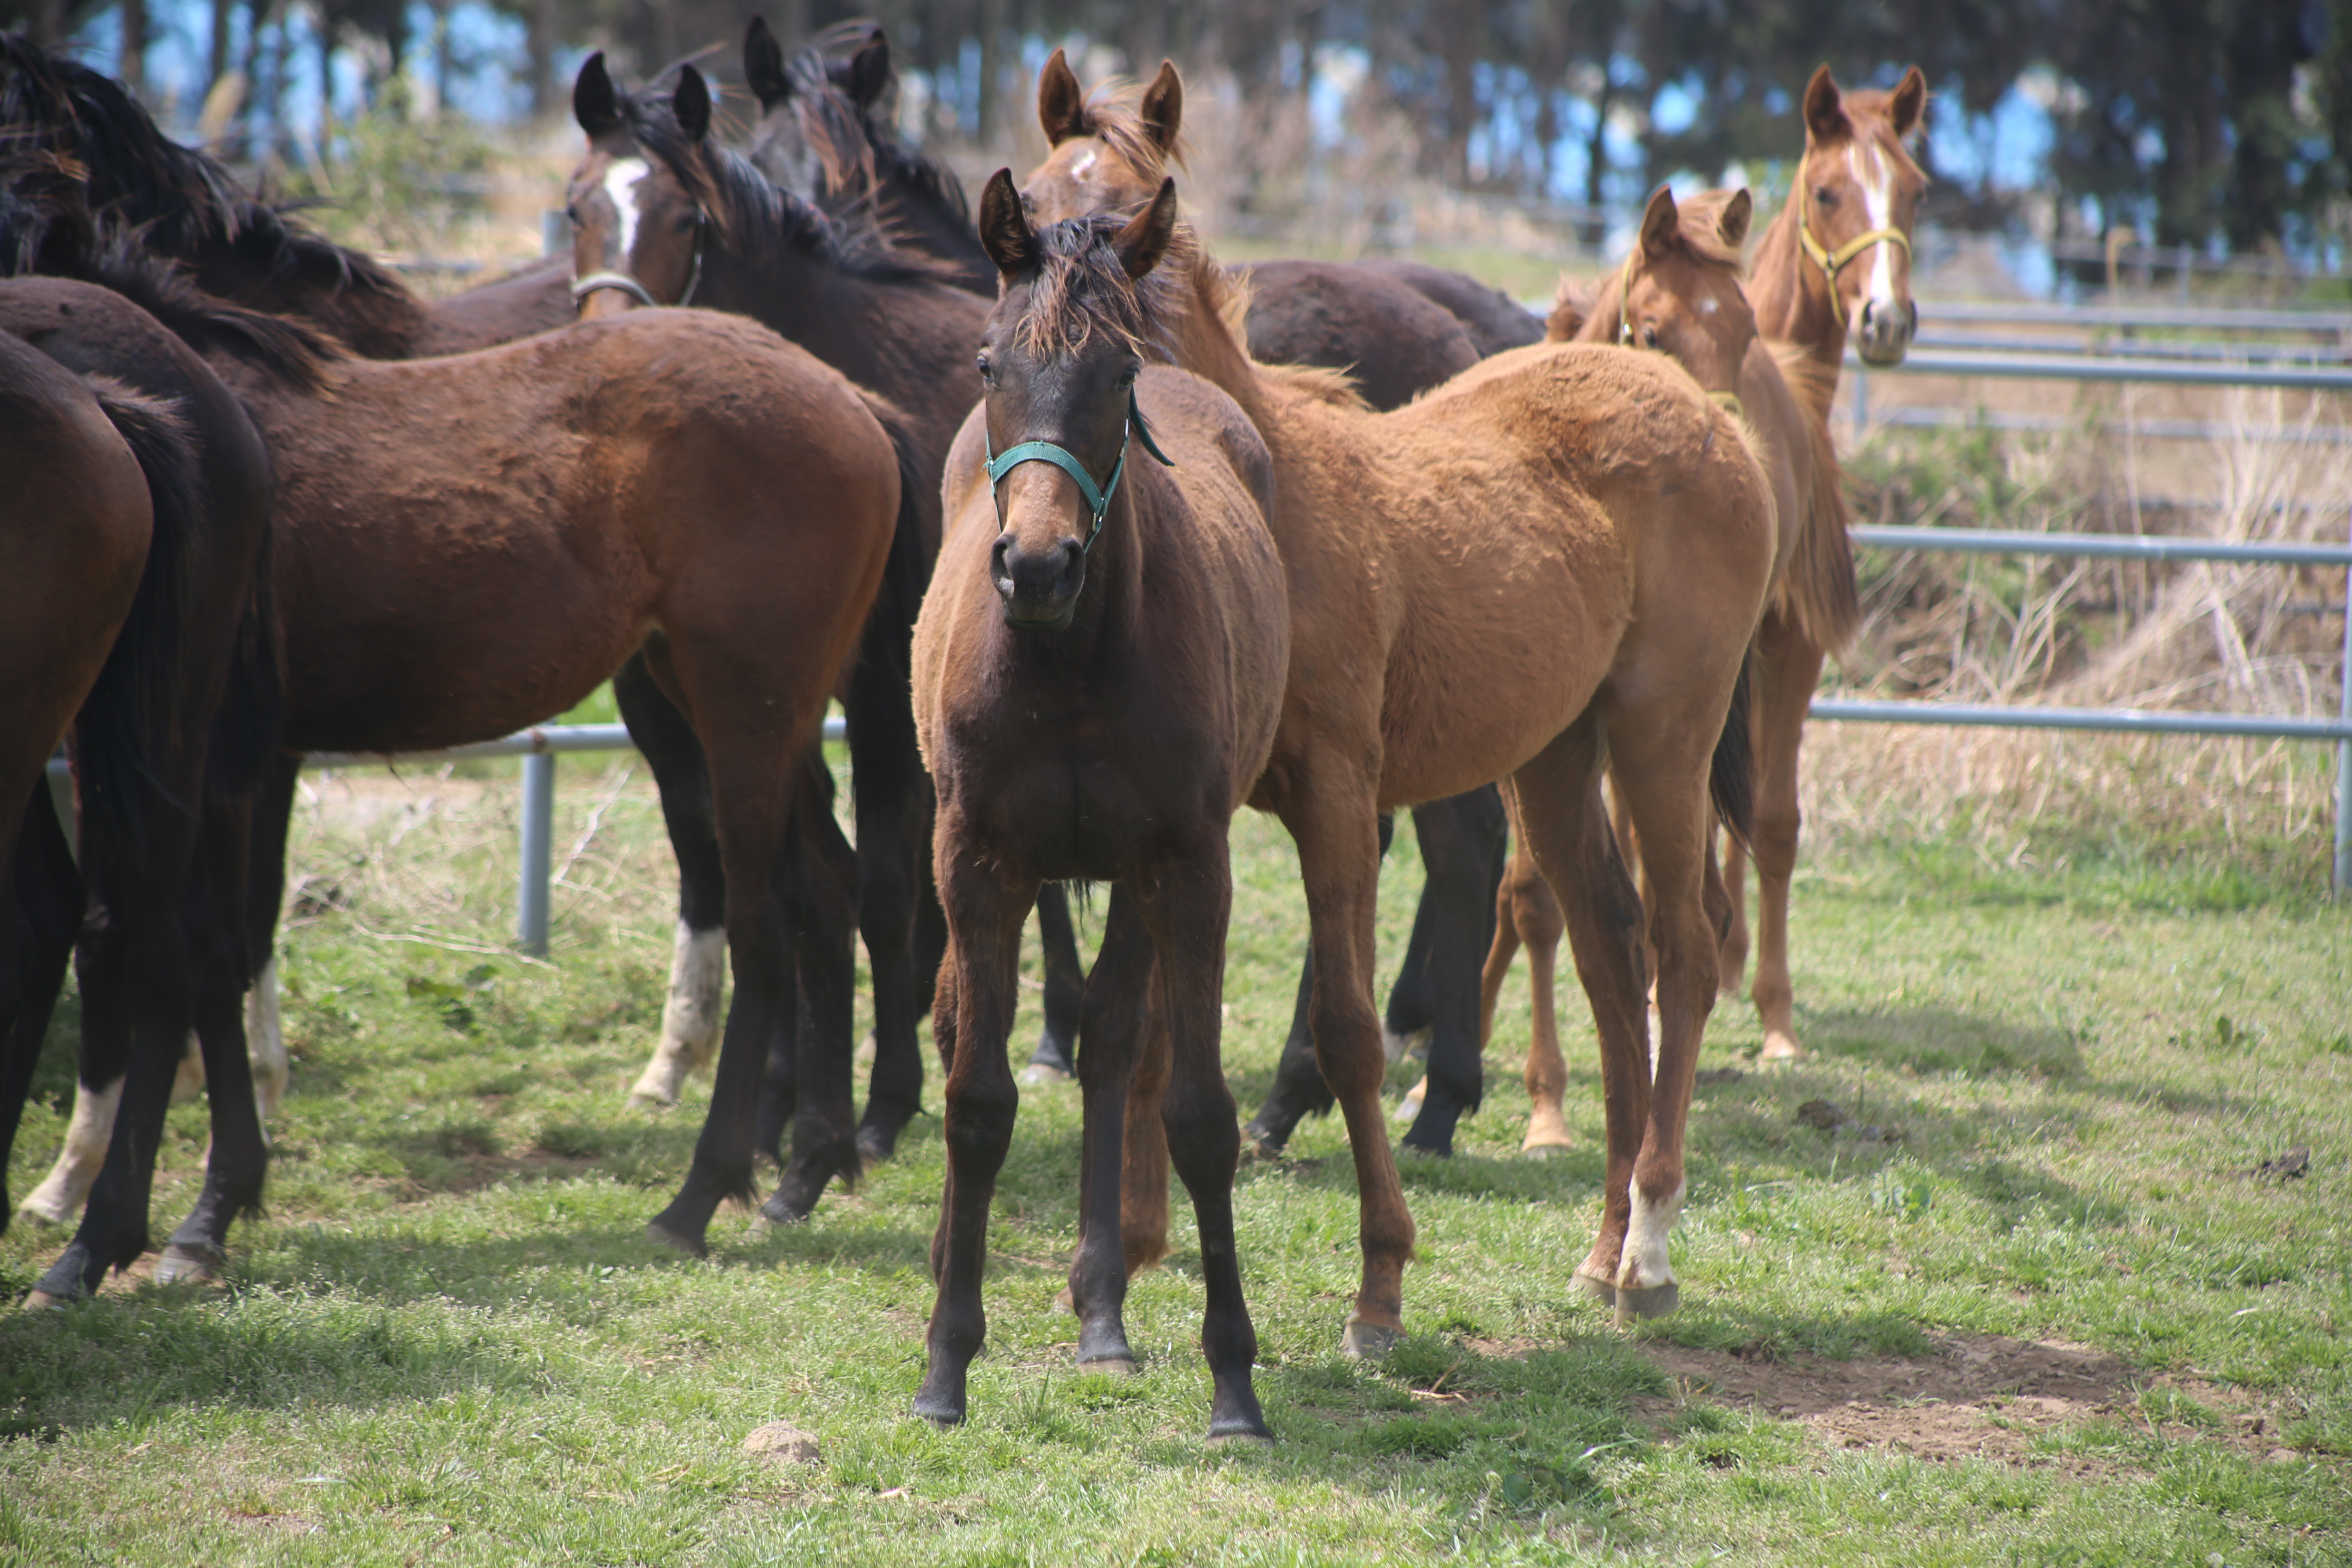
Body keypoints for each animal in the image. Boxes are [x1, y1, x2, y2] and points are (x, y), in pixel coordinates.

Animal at [1020, 61, 1768, 1335]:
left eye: (1135, 208)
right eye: (1028, 201)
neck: (1266, 495)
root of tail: (1708, 416)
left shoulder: (1336, 798)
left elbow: (1350, 1029)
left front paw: (1377, 1287)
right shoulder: (1180, 813)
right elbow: (1155, 1021)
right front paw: (1135, 1241)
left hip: (1662, 738)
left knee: (1680, 948)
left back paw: (1649, 1250)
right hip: (1555, 756)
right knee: (1609, 953)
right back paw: (1598, 1245)